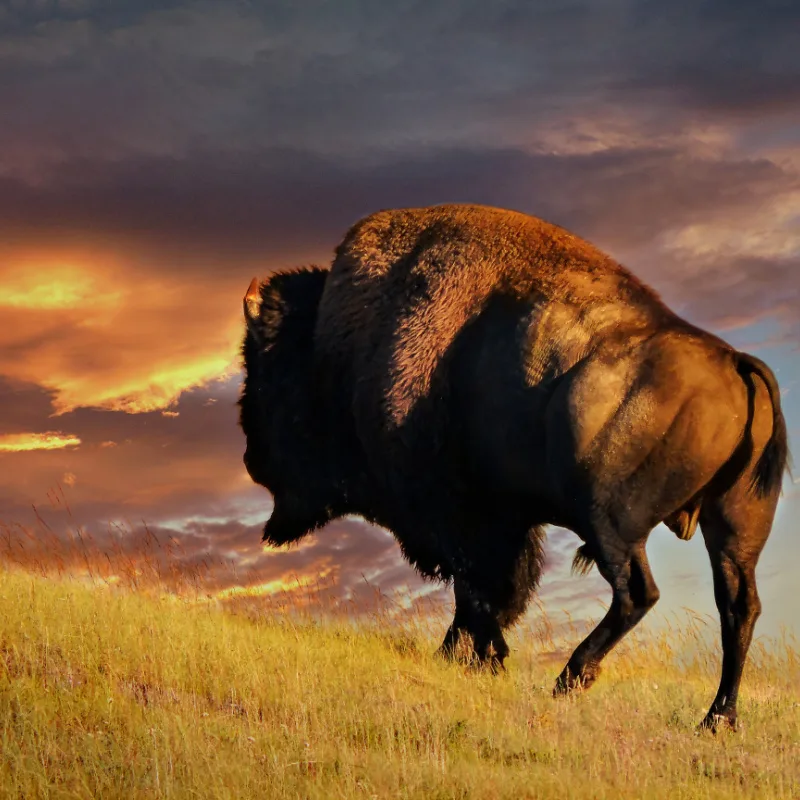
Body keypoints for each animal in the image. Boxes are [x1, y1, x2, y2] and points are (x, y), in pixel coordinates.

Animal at [239, 204, 789, 730]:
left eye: (268, 373)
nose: (250, 457)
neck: (335, 345)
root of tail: (734, 361)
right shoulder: (504, 520)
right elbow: (488, 590)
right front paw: (469, 658)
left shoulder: (466, 516)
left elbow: (482, 588)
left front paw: (481, 658)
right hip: (733, 530)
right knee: (738, 607)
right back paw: (716, 719)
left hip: (611, 523)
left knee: (638, 593)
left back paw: (570, 680)